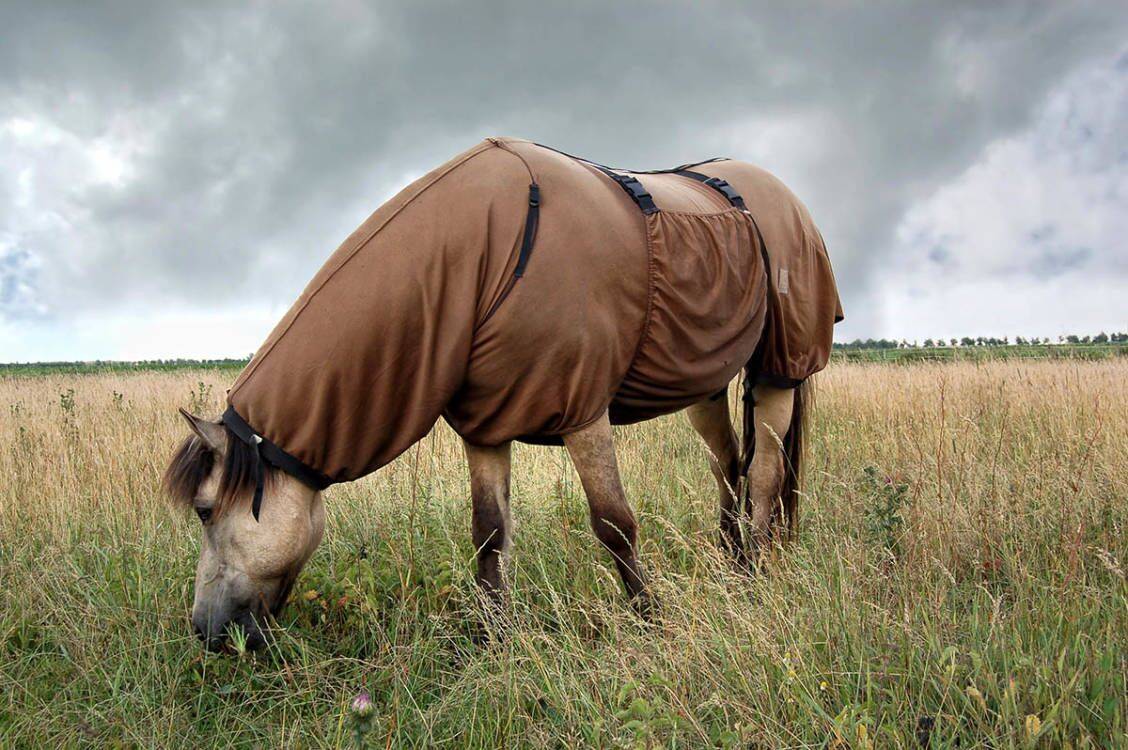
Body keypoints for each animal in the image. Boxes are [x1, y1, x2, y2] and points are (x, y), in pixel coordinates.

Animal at [163, 135, 843, 649]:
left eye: (203, 510)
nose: (204, 631)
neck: (491, 251)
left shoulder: (582, 411)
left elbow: (614, 523)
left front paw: (651, 620)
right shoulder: (488, 424)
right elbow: (489, 532)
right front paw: (495, 640)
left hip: (779, 373)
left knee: (766, 472)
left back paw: (755, 571)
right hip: (704, 382)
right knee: (729, 463)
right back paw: (731, 559)